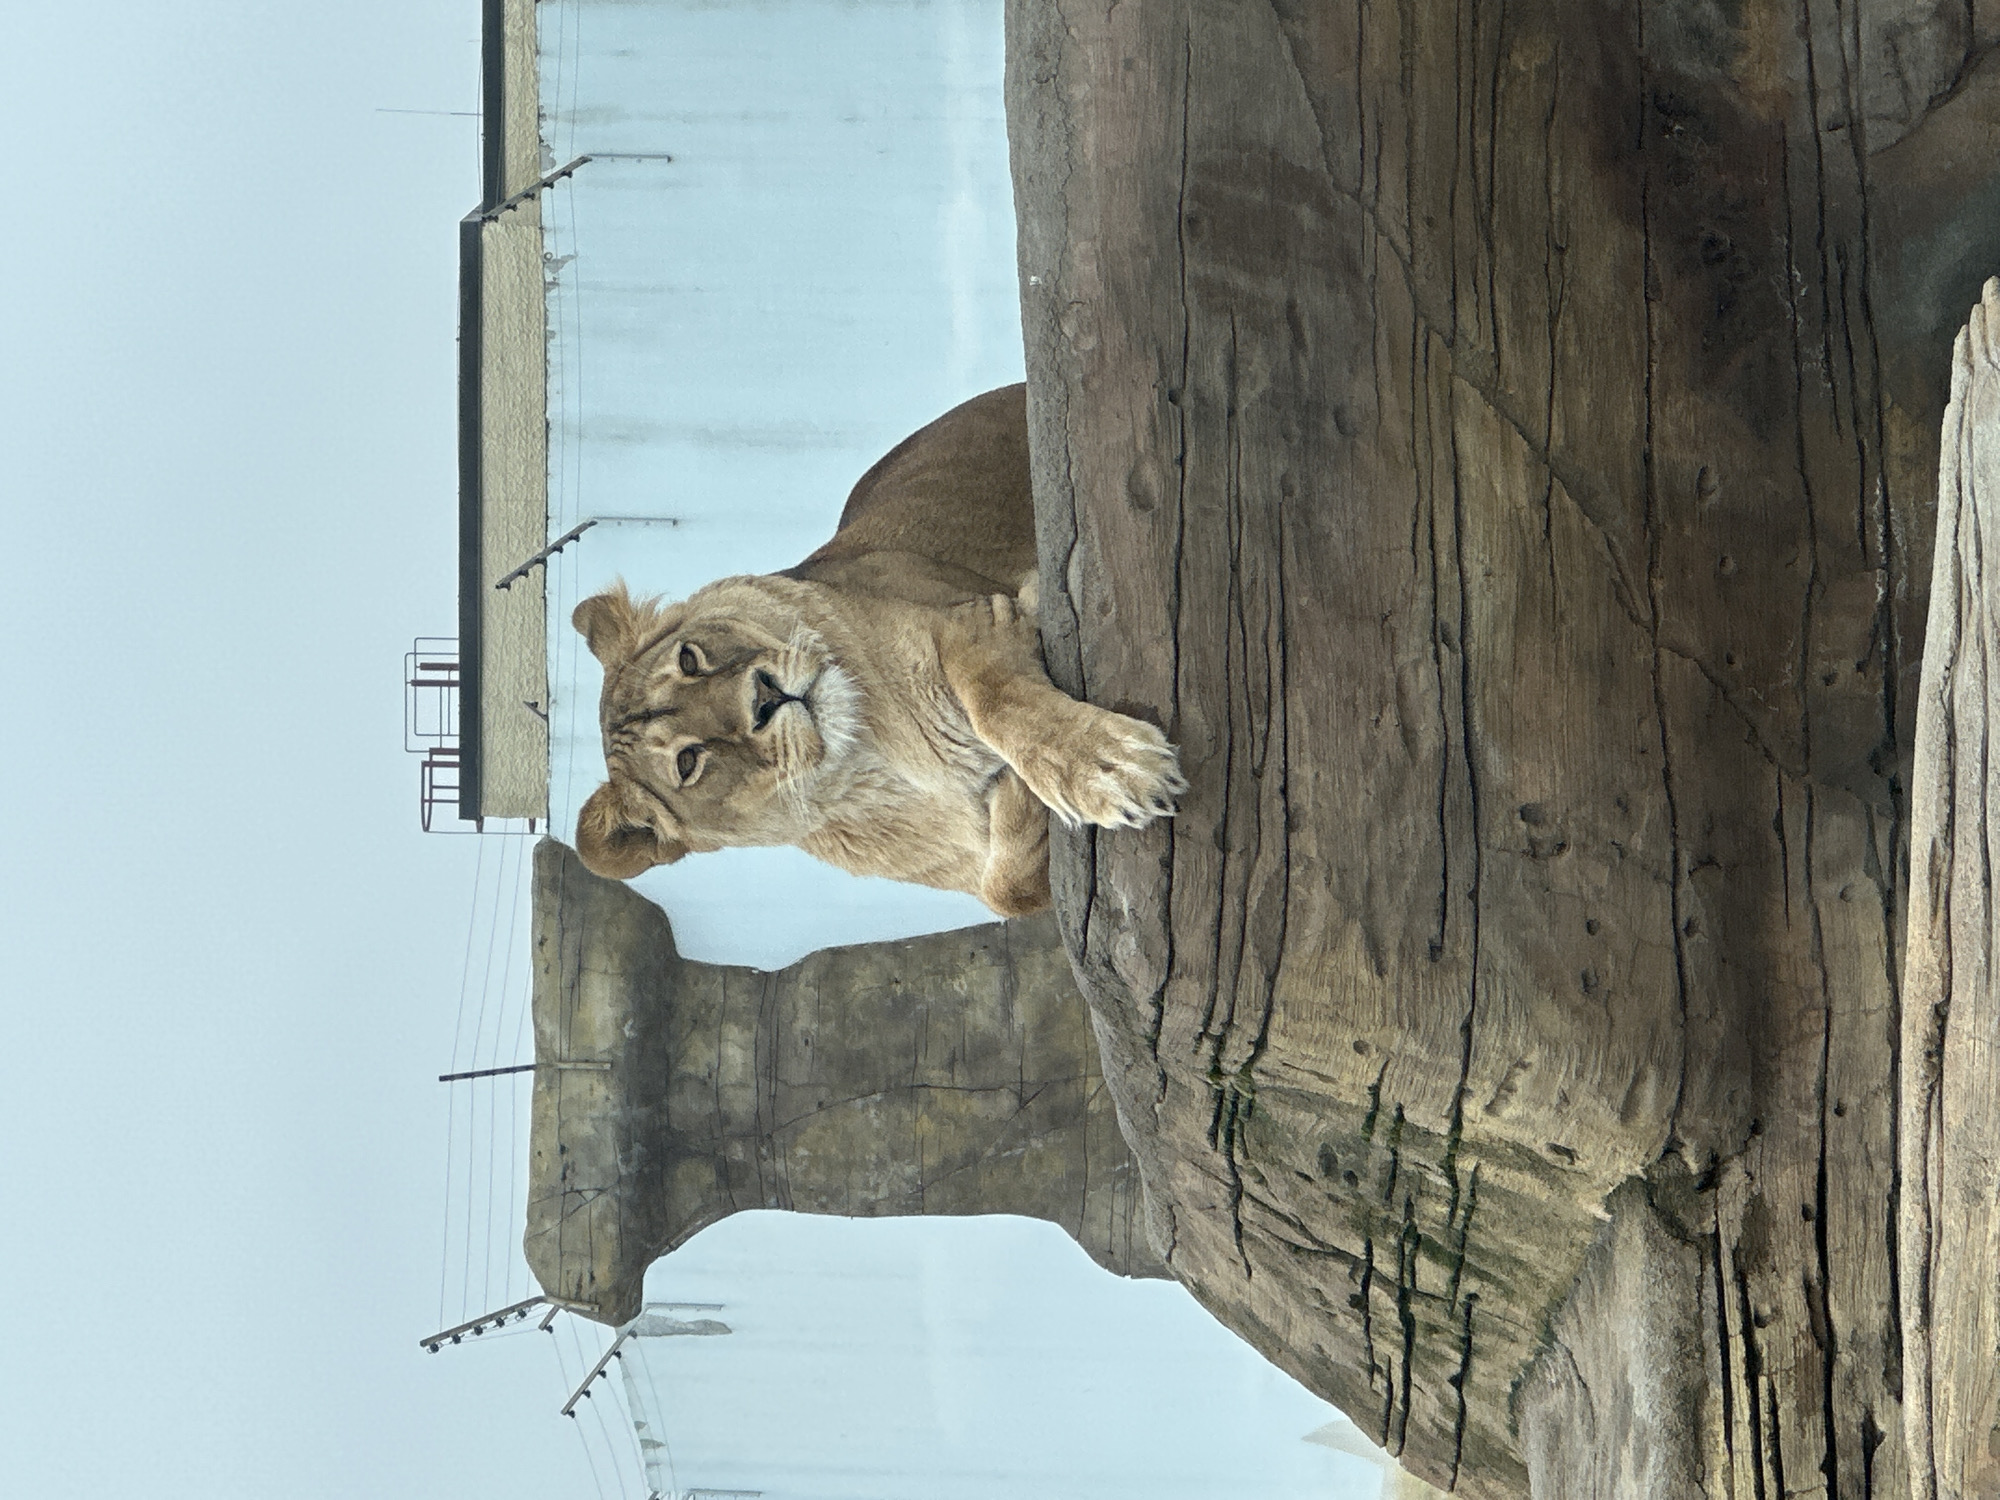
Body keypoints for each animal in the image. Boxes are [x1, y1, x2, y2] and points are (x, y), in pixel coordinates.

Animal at [570, 383, 1185, 916]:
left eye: (689, 659)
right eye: (688, 762)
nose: (765, 698)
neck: (873, 759)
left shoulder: (954, 616)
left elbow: (994, 693)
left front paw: (1109, 767)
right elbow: (1005, 892)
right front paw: (1026, 801)